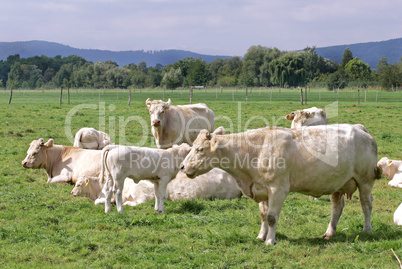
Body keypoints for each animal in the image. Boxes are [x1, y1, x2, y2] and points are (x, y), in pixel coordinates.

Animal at [181, 124, 382, 244]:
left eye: (200, 149)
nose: (182, 167)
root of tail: (359, 128)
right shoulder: (261, 188)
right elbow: (263, 215)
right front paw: (261, 236)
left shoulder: (278, 189)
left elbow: (271, 217)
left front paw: (270, 240)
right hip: (337, 182)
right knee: (337, 207)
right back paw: (329, 232)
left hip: (365, 180)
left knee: (367, 204)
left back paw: (367, 229)